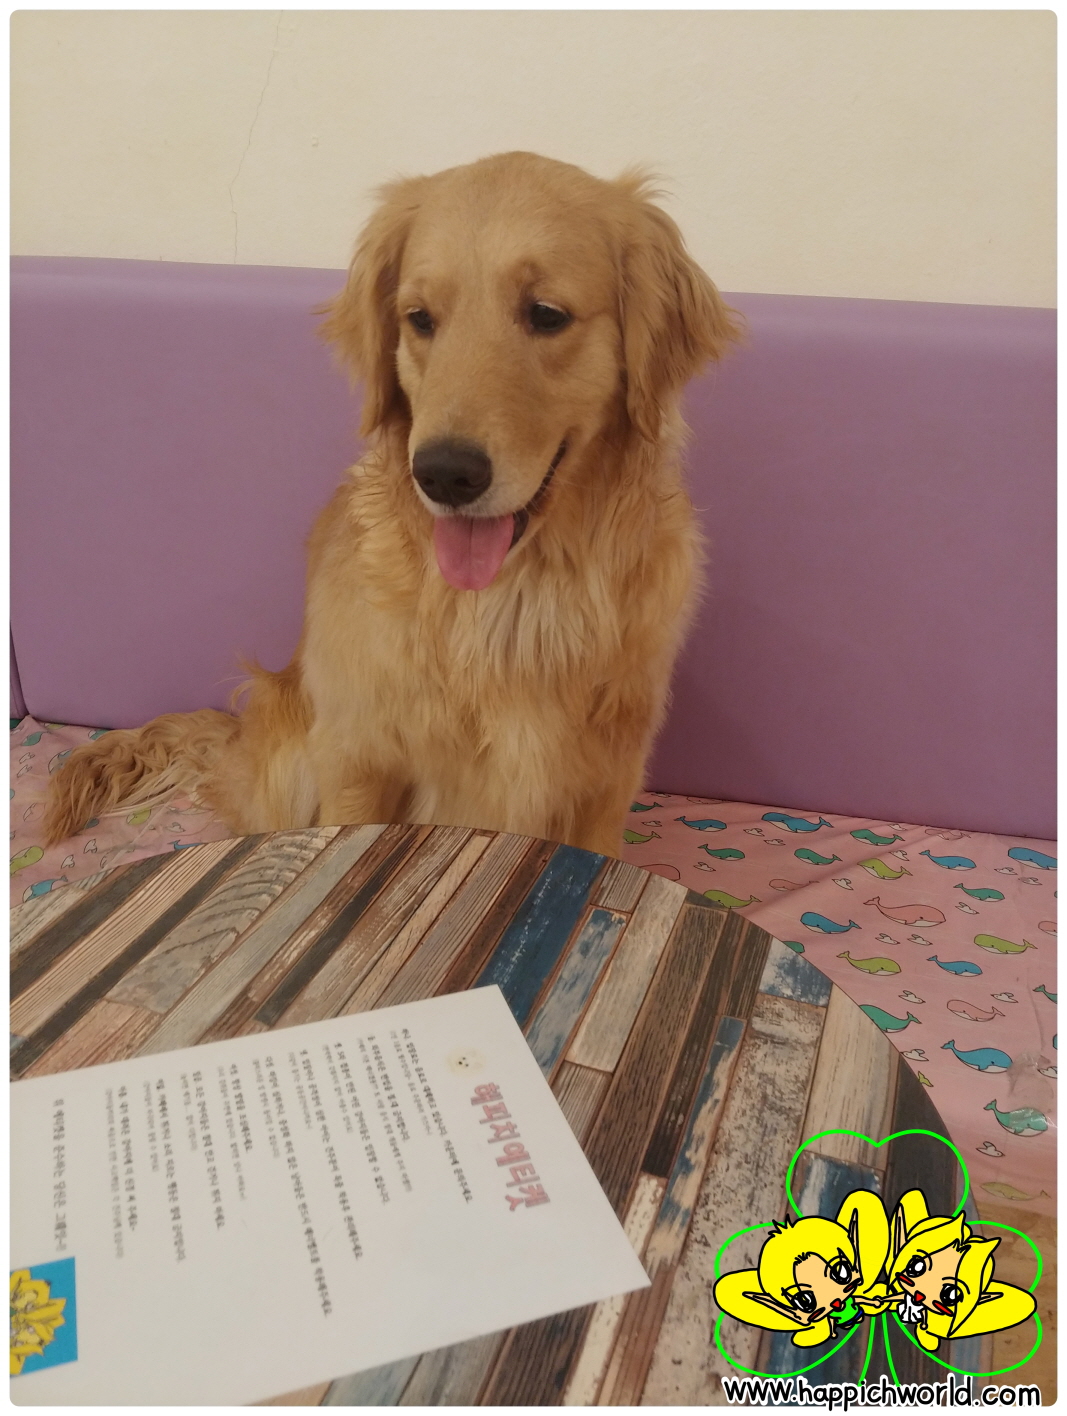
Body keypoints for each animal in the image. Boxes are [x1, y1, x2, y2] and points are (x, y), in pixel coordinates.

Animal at [44, 152, 739, 858]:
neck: (510, 603)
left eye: (546, 314)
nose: (445, 474)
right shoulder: (360, 758)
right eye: (420, 318)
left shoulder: (607, 783)